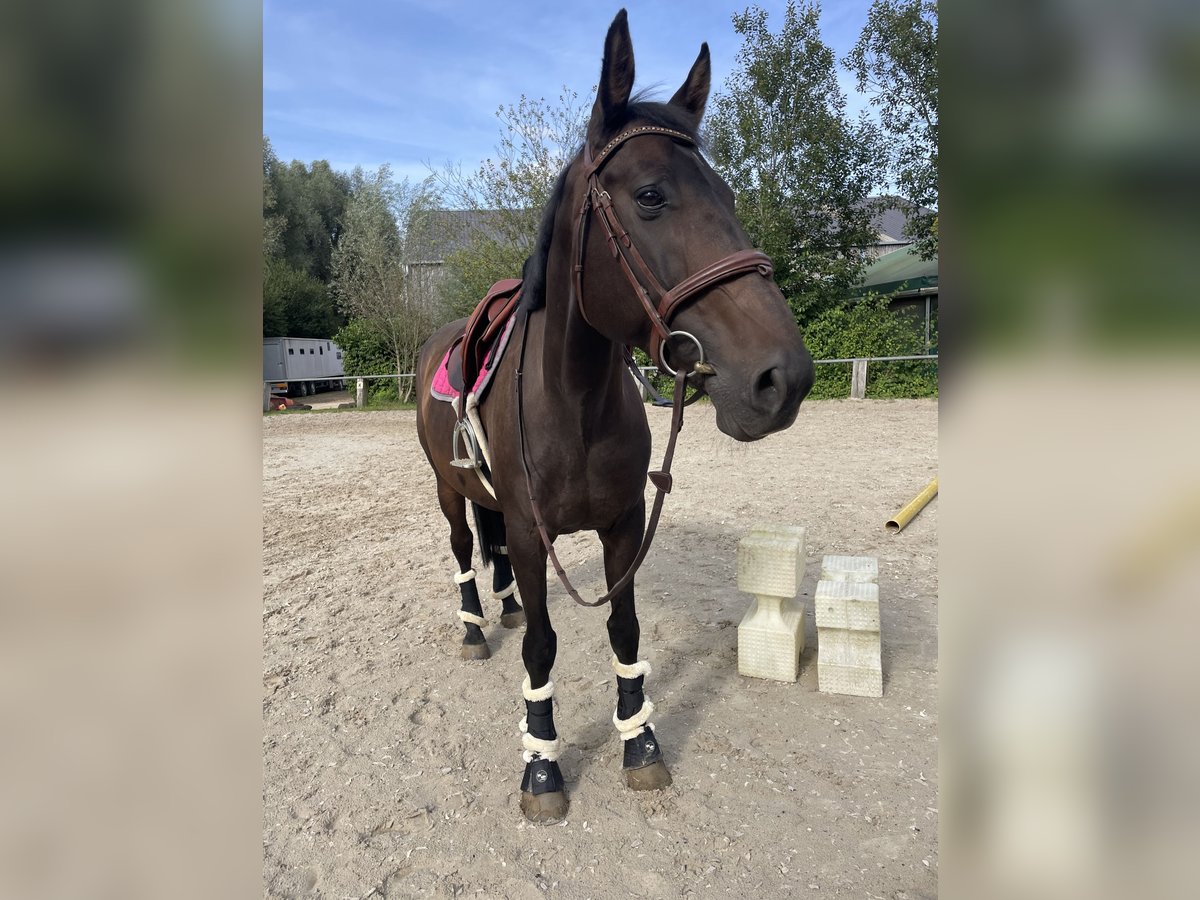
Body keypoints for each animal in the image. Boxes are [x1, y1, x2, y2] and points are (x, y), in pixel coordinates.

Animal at [412, 8, 816, 825]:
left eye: (728, 197)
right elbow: (542, 645)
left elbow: (623, 630)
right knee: (464, 550)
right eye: (652, 196)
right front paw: (541, 763)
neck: (574, 405)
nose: (782, 378)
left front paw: (641, 742)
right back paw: (474, 627)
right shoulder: (532, 534)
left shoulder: (623, 524)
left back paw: (502, 609)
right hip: (447, 490)